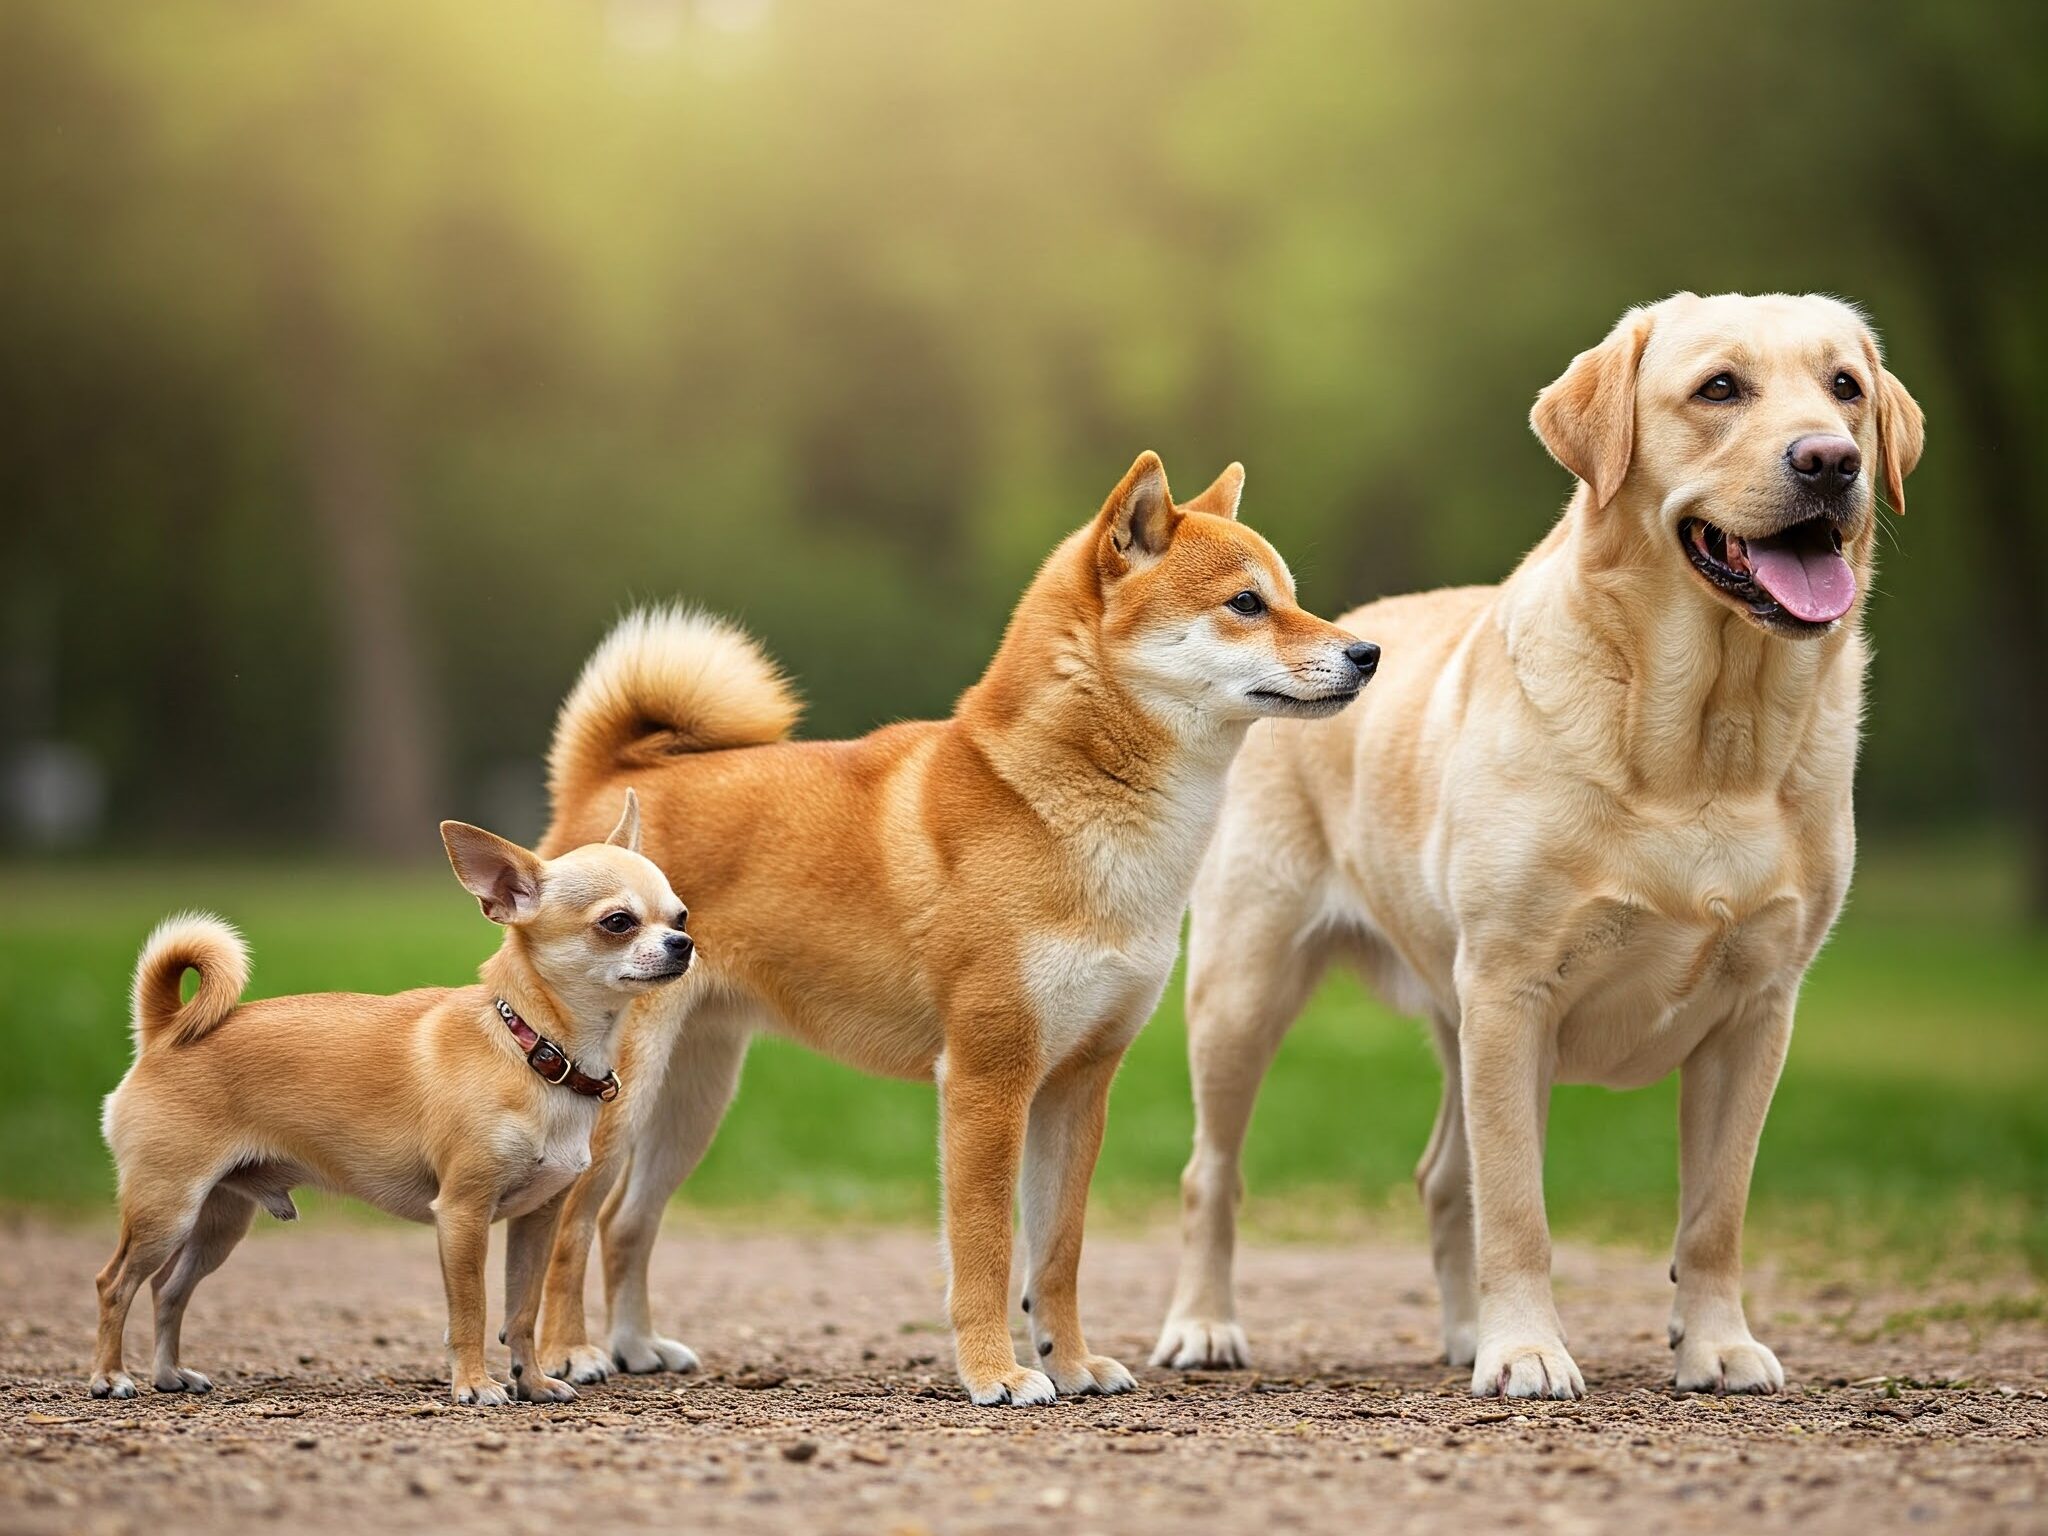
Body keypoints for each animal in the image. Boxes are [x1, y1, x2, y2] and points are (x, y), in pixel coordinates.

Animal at [92, 798, 696, 1417]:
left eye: (681, 917)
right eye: (617, 922)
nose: (685, 944)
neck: (532, 1048)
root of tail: (165, 1032)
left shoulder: (537, 1220)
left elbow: (521, 1311)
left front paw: (531, 1382)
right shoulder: (462, 1214)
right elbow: (473, 1310)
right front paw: (475, 1384)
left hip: (217, 1222)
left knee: (167, 1289)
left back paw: (169, 1373)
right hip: (166, 1210)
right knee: (115, 1284)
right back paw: (111, 1377)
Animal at [536, 454, 1384, 1409]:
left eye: (1290, 596)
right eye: (1245, 603)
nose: (1367, 653)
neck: (1070, 809)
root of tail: (607, 782)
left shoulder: (1078, 1085)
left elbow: (1057, 1254)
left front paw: (1071, 1363)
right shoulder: (987, 1077)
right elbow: (985, 1250)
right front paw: (997, 1372)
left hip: (695, 1096)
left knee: (624, 1221)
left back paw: (636, 1346)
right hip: (626, 1096)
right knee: (570, 1225)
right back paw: (568, 1354)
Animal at [1163, 294, 1925, 1400]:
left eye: (1844, 388)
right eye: (1719, 388)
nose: (1831, 460)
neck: (1706, 738)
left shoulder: (1757, 1013)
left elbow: (1715, 1212)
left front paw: (1715, 1344)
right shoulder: (1512, 992)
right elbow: (1517, 1207)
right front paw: (1526, 1351)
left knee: (1443, 1179)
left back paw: (1460, 1335)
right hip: (1243, 986)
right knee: (1211, 1172)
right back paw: (1204, 1327)